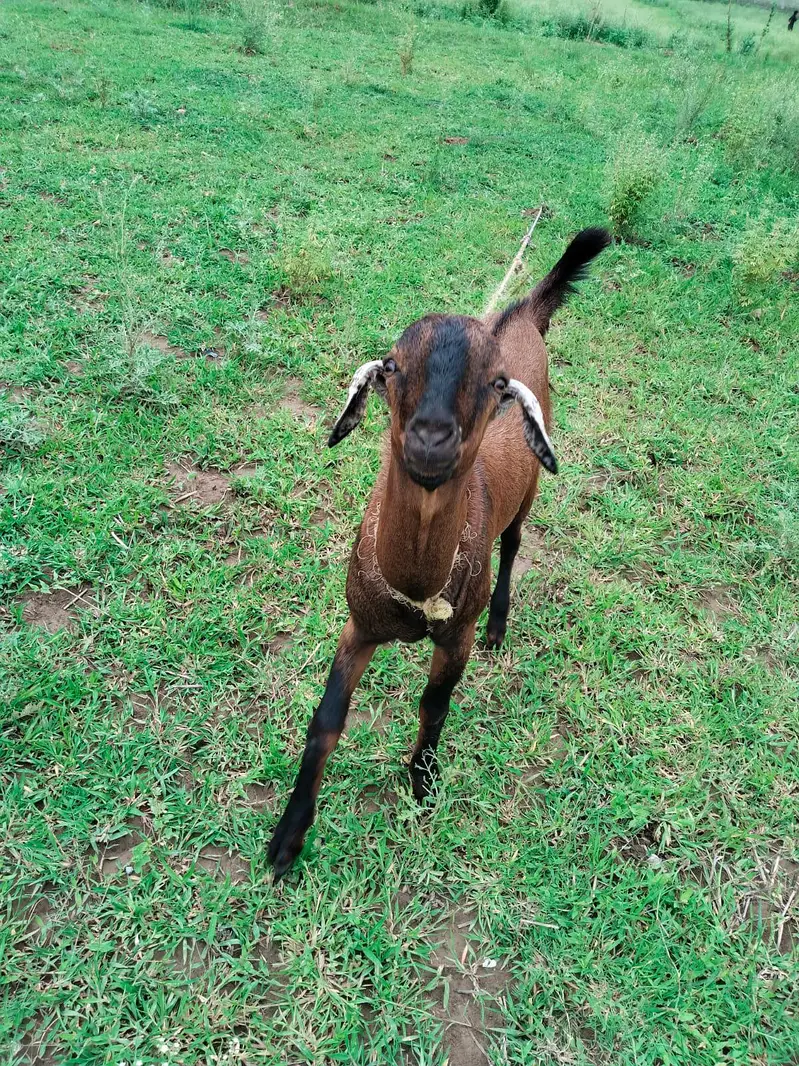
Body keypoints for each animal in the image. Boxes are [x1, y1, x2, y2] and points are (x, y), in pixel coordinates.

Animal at [268, 227, 611, 879]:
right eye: (392, 367)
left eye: (497, 384)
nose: (431, 437)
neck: (418, 589)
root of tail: (522, 313)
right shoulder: (359, 623)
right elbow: (326, 722)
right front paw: (288, 837)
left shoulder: (456, 636)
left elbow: (434, 704)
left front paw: (422, 782)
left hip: (528, 494)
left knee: (513, 545)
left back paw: (502, 623)